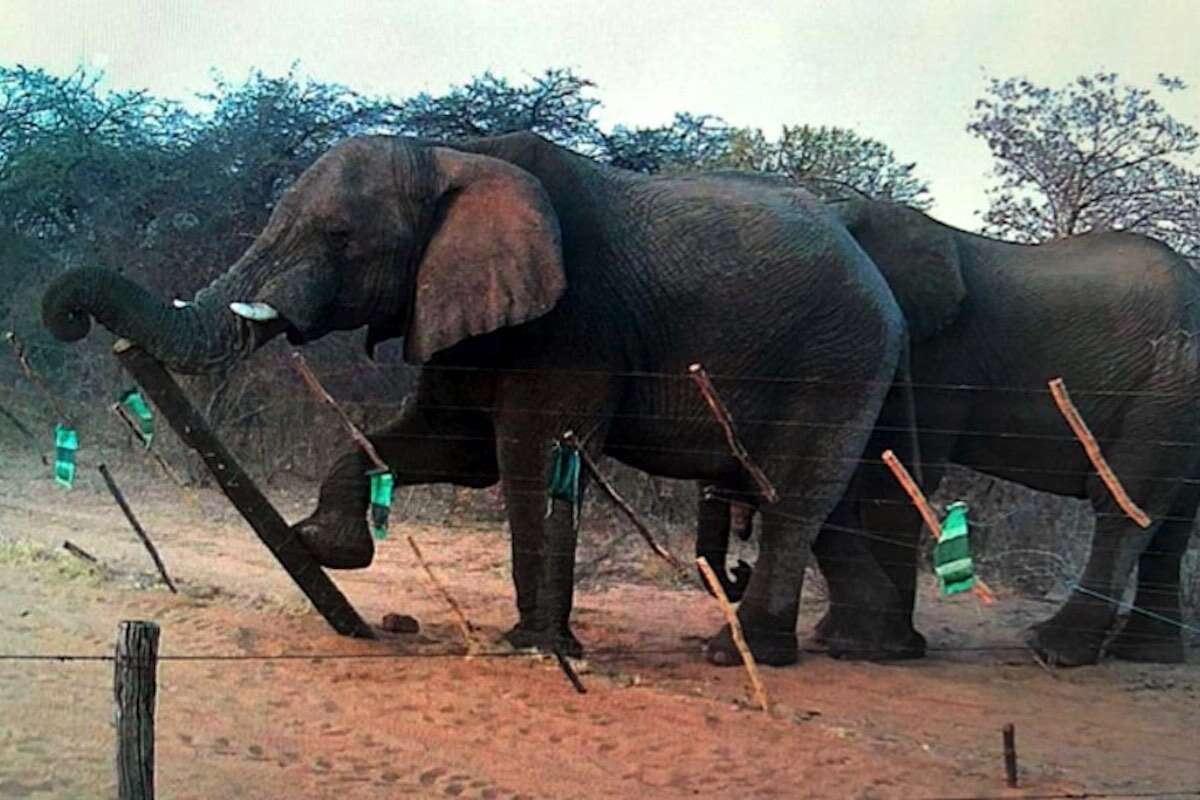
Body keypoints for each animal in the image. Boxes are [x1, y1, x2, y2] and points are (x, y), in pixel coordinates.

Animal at [42, 133, 912, 671]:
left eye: (340, 239)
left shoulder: (572, 320)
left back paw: (741, 654)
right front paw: (324, 546)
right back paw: (852, 648)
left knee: (791, 495)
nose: (73, 319)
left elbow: (529, 456)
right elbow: (444, 445)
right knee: (830, 503)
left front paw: (535, 646)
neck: (447, 158)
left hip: (837, 354)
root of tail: (879, 280)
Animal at [696, 196, 1200, 666]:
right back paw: (1146, 654)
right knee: (1173, 524)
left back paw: (1051, 648)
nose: (737, 572)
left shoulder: (936, 356)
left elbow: (892, 478)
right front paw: (841, 639)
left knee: (1125, 505)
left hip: (1166, 386)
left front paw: (877, 649)